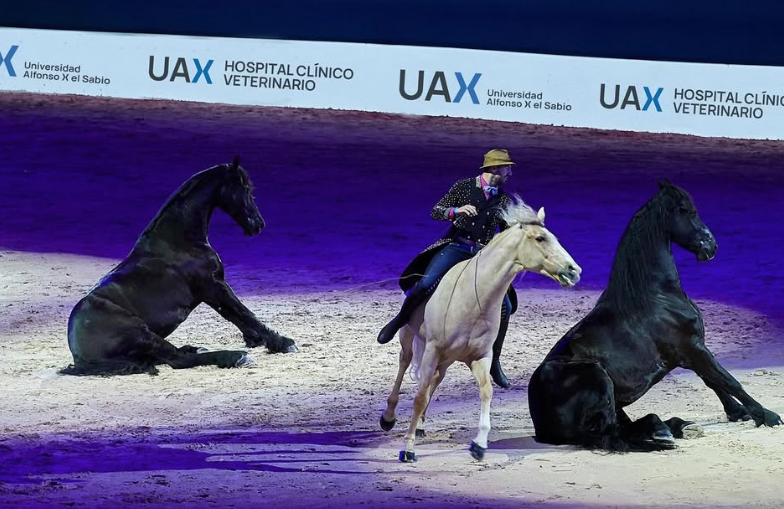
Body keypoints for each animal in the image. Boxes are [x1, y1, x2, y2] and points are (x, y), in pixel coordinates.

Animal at [61, 157, 297, 376]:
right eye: (246, 189)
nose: (258, 224)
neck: (179, 241)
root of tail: (79, 355)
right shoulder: (213, 286)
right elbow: (243, 312)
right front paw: (282, 342)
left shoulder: (212, 291)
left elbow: (233, 314)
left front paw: (256, 339)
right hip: (140, 332)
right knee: (177, 359)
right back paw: (234, 356)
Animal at [380, 198, 581, 462]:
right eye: (540, 238)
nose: (574, 270)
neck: (472, 298)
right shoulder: (433, 350)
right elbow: (419, 396)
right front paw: (408, 450)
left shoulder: (480, 357)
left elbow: (486, 391)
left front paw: (479, 445)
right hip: (409, 336)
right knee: (404, 363)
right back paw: (388, 417)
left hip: (446, 359)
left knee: (435, 379)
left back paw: (421, 424)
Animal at [528, 181, 782, 452]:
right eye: (688, 210)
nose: (711, 246)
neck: (657, 296)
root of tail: (540, 426)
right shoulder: (693, 349)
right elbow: (727, 380)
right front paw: (767, 416)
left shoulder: (691, 352)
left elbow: (713, 380)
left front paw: (739, 413)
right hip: (598, 378)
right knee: (611, 434)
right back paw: (664, 432)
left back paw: (676, 427)